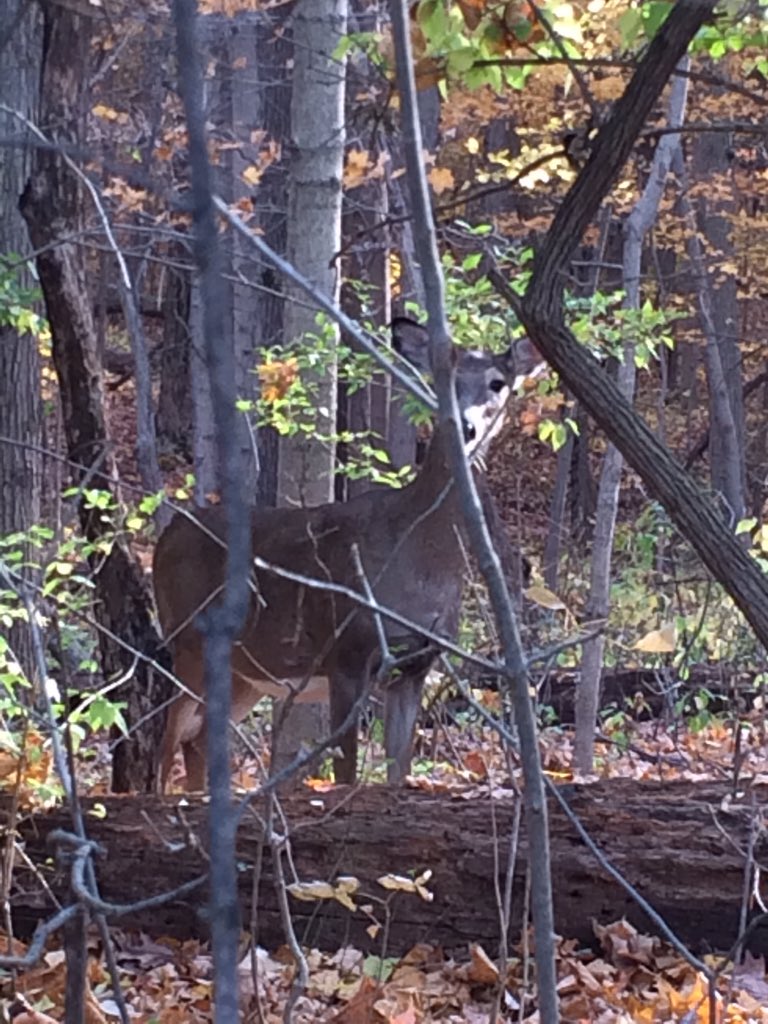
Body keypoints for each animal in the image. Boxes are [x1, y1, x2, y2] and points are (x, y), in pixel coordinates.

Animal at [153, 317, 540, 791]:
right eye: (441, 376)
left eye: (498, 383)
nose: (465, 428)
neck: (423, 565)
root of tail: (168, 533)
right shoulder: (347, 651)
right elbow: (346, 770)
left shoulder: (413, 667)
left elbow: (397, 770)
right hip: (188, 638)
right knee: (165, 741)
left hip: (247, 671)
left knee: (199, 739)